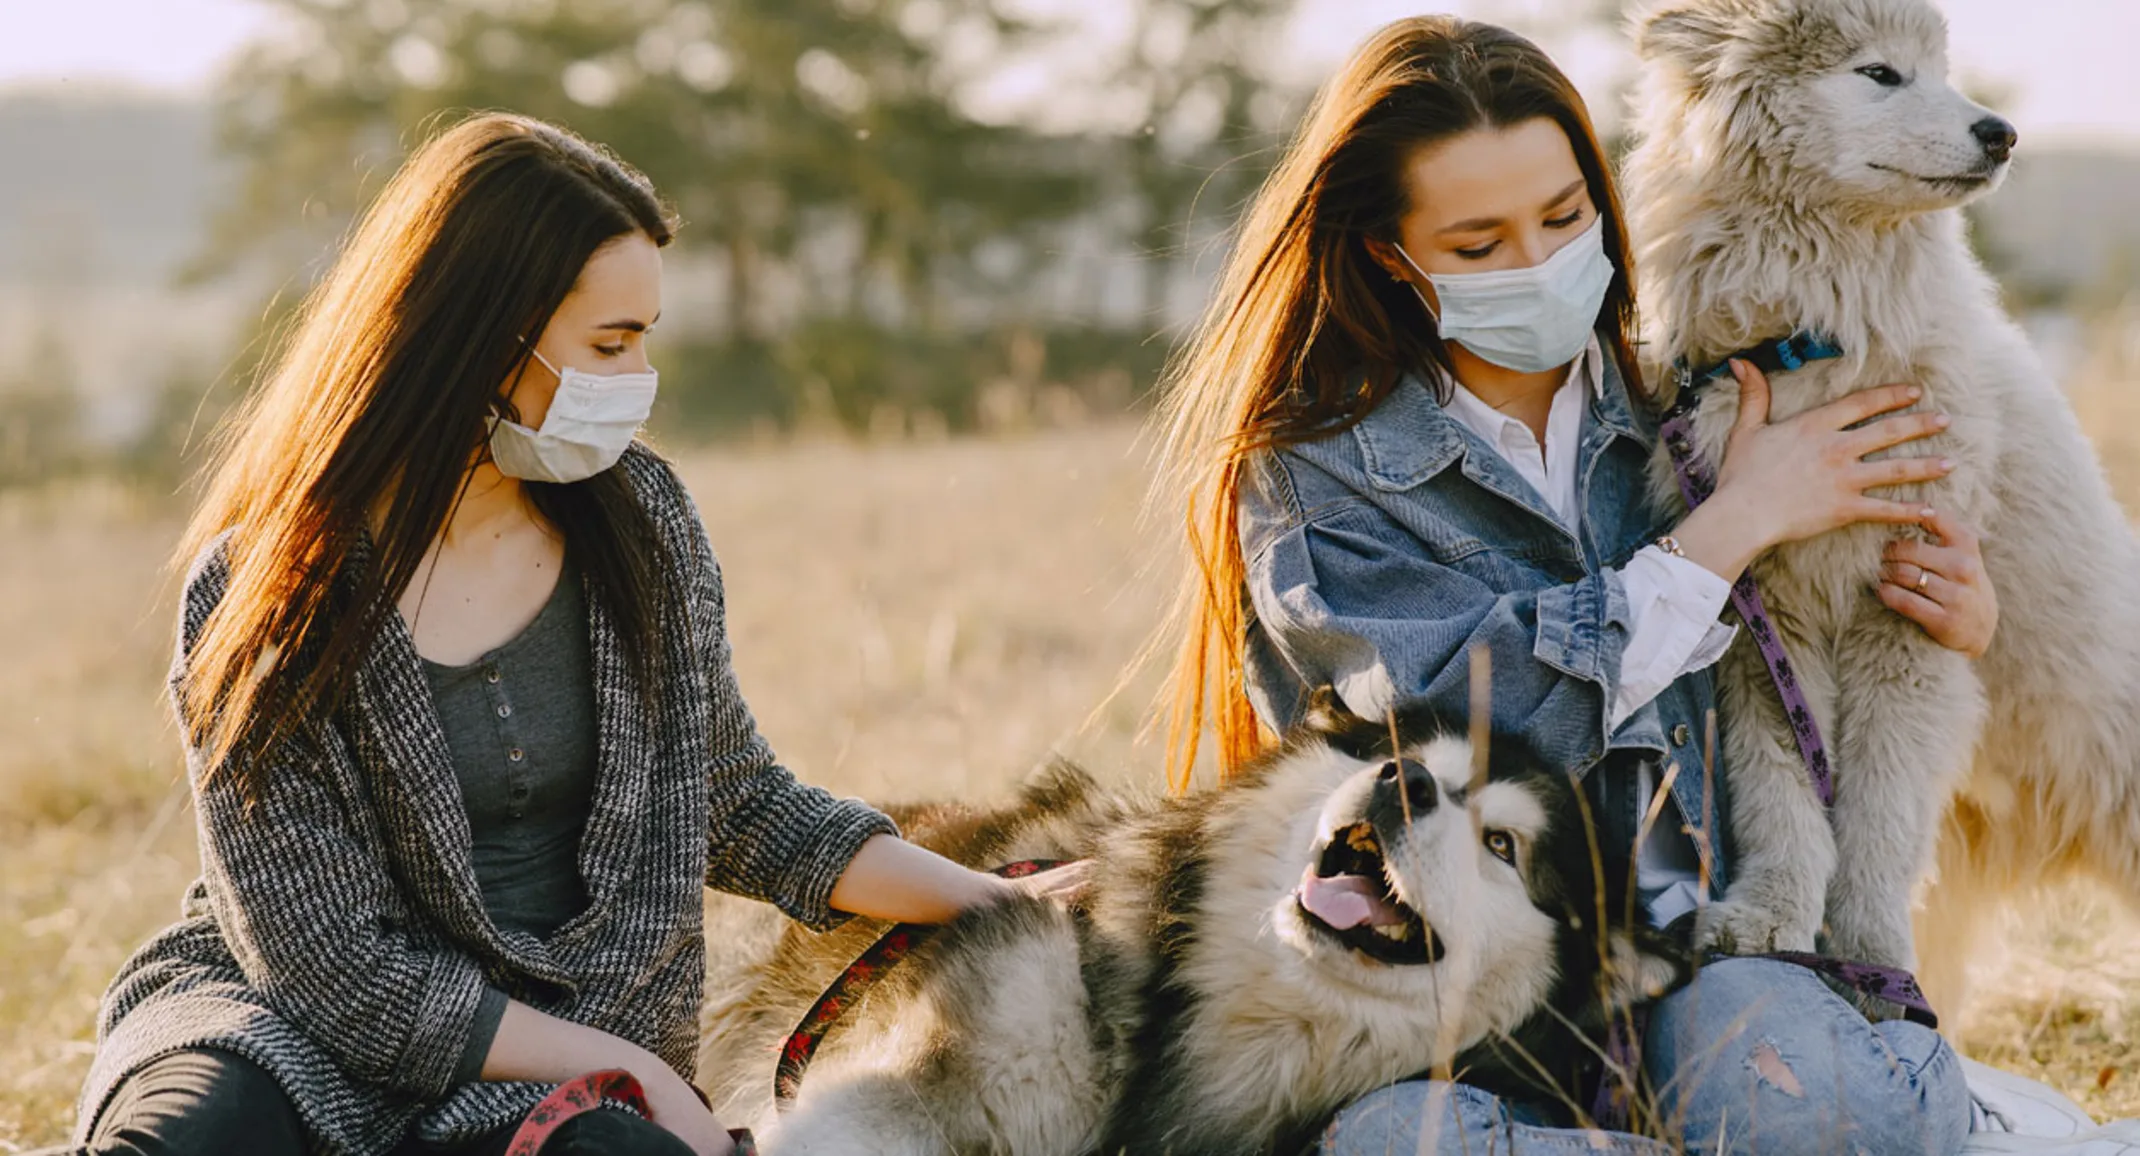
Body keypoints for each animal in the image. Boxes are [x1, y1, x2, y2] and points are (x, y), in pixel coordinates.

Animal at [1617, 0, 2140, 1010]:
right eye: (1880, 74)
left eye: (1940, 68)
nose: (2002, 133)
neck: (1808, 338)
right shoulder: (1766, 622)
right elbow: (1782, 795)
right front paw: (1771, 921)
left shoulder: (1906, 610)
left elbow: (1879, 811)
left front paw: (1868, 954)